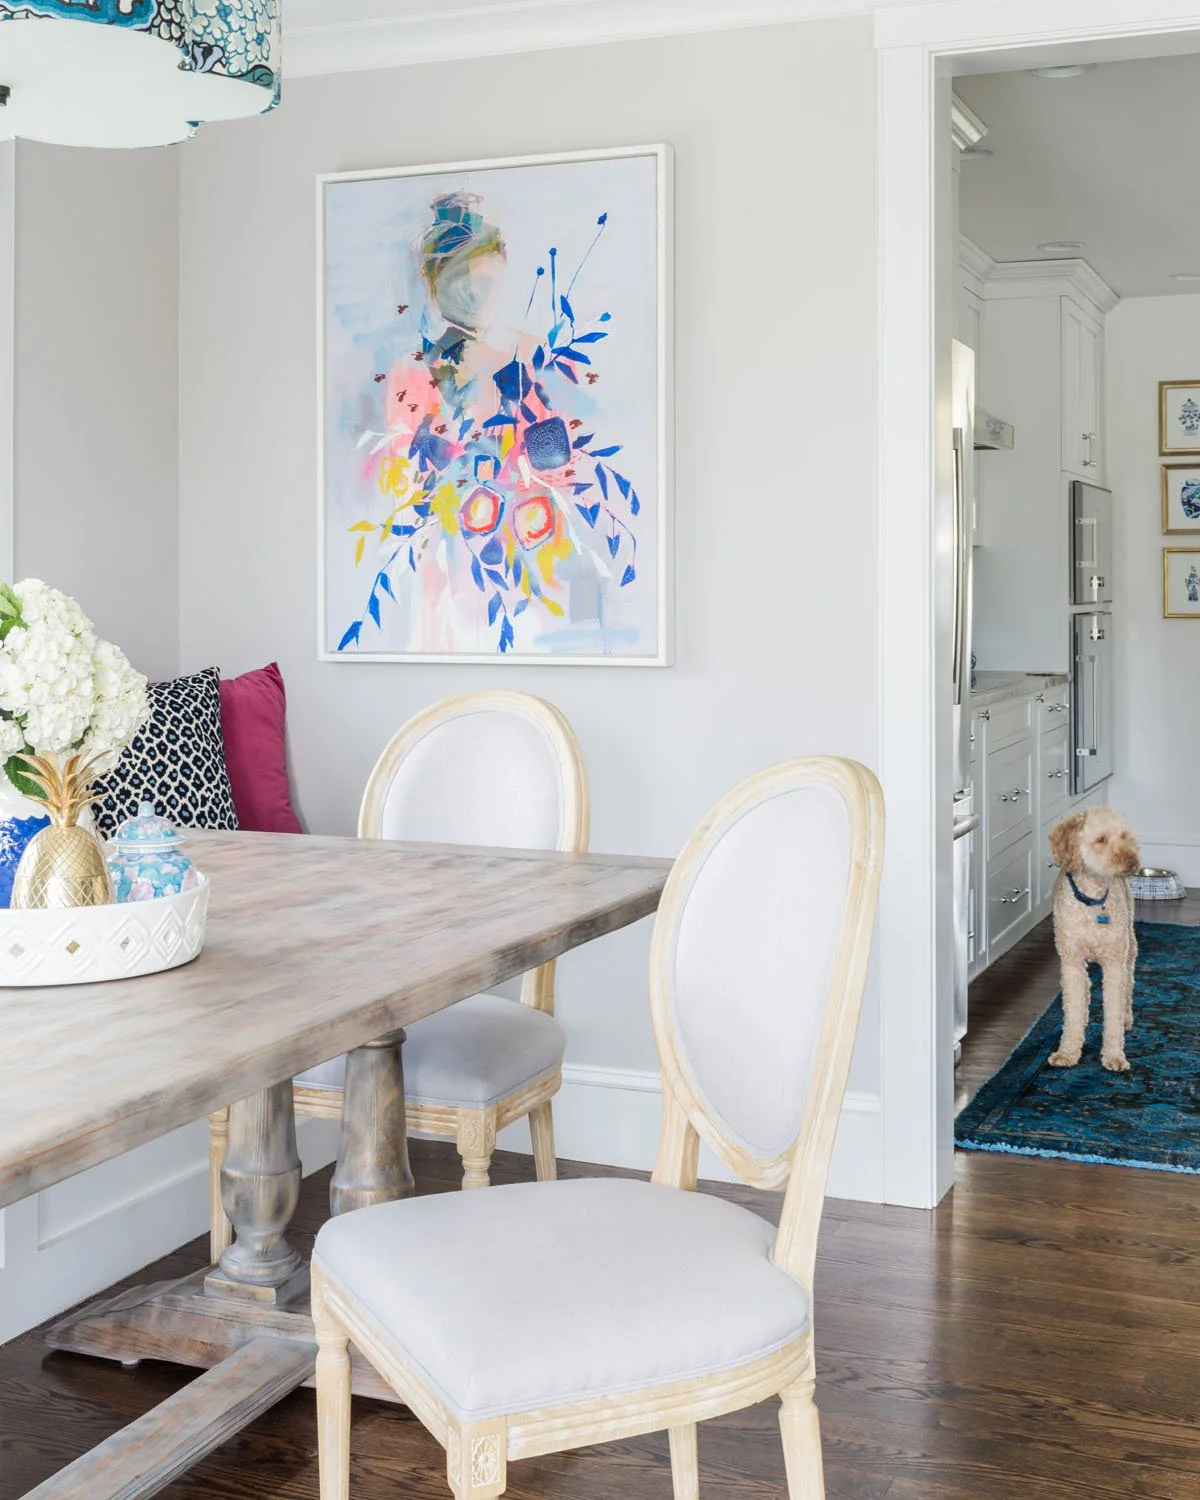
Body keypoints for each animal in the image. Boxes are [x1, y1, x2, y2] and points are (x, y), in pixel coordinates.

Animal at [1047, 807, 1140, 1072]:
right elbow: (1073, 1009)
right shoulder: (1071, 962)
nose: (1132, 861)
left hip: (1130, 947)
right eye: (1101, 839)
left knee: (1129, 984)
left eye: (1124, 836)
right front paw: (1067, 1052)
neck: (1093, 900)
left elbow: (1113, 1012)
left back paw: (1127, 1017)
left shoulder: (1114, 964)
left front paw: (1114, 1056)